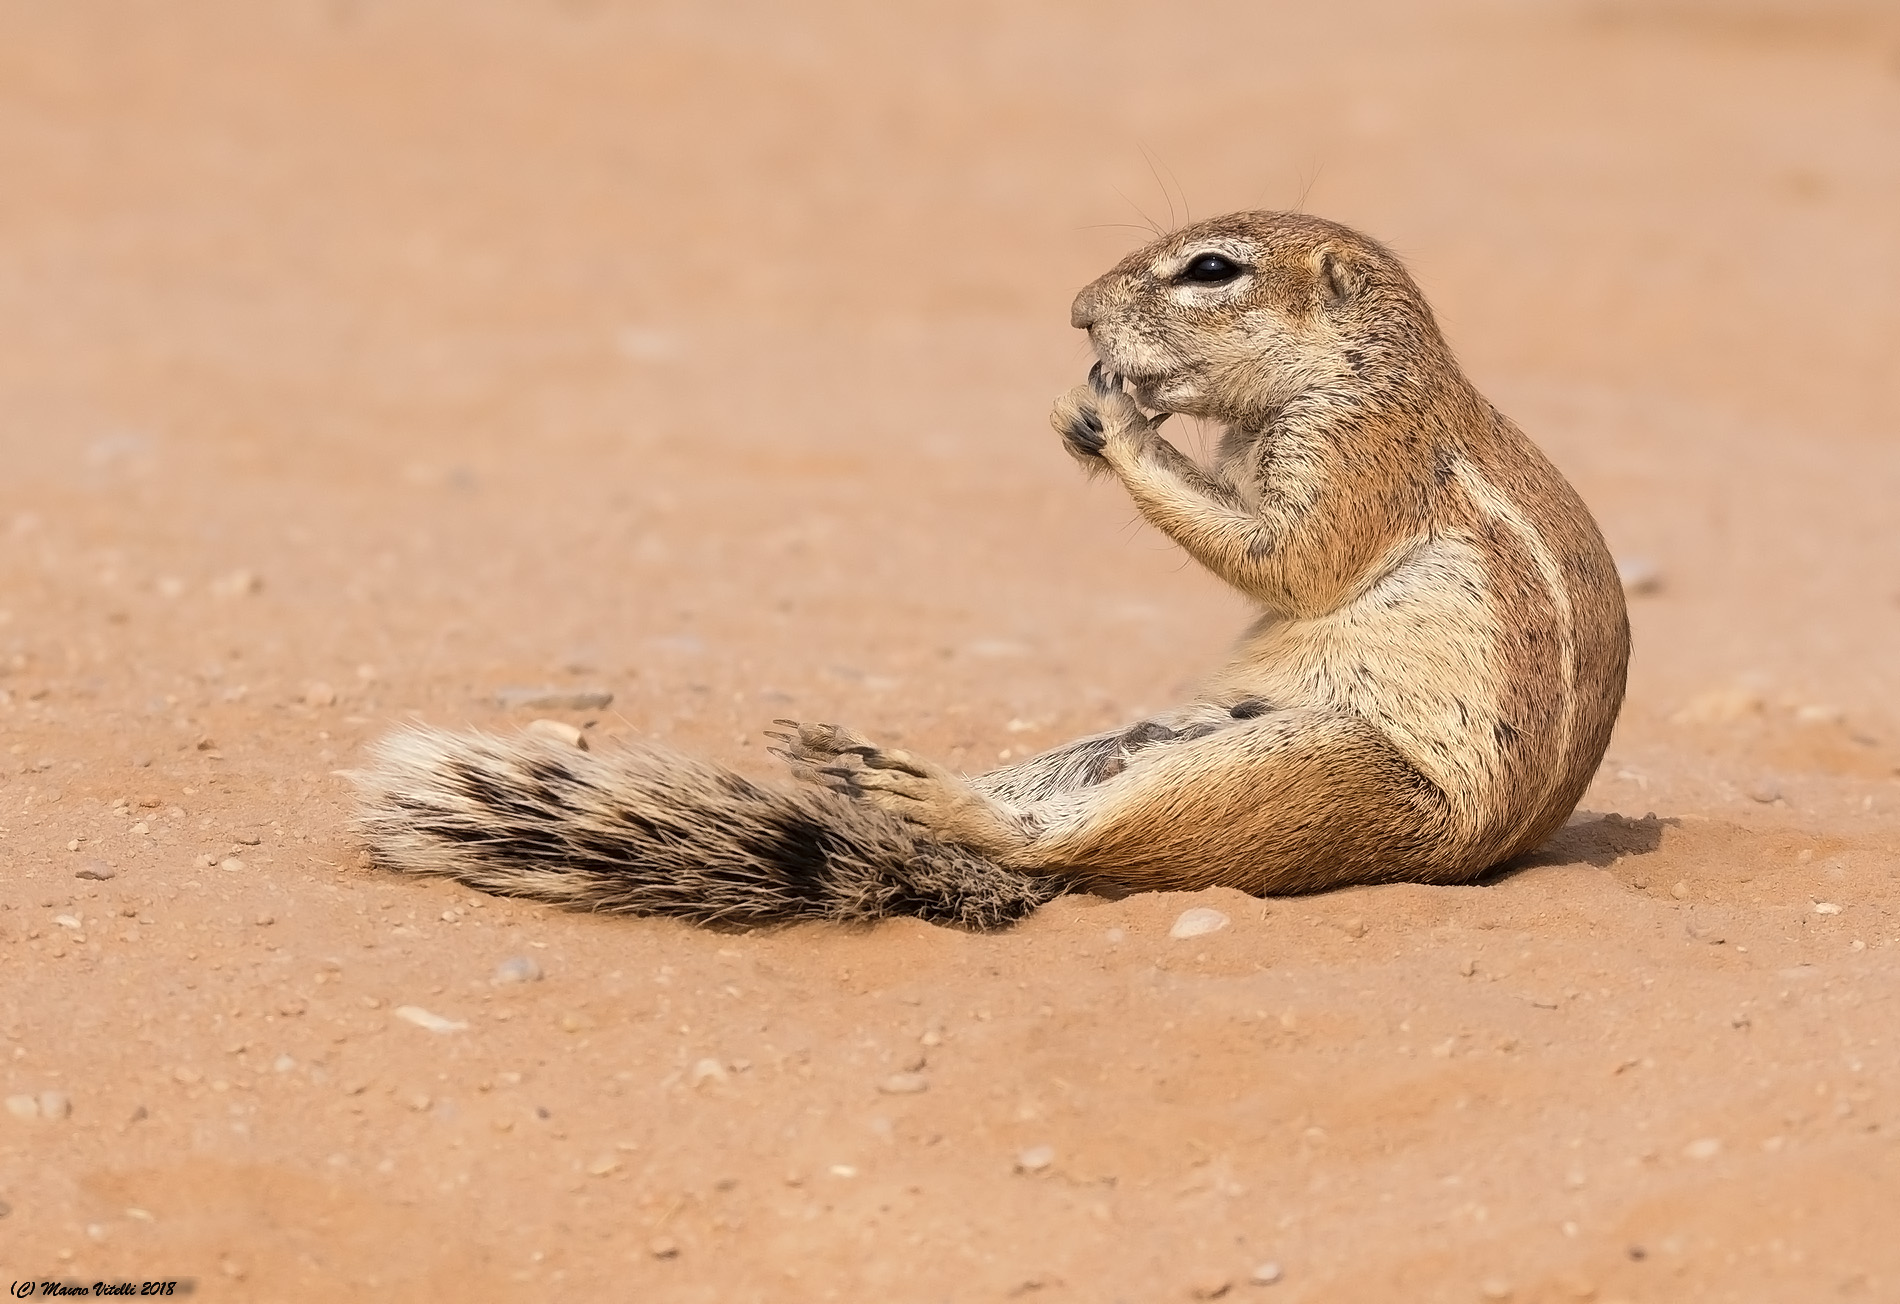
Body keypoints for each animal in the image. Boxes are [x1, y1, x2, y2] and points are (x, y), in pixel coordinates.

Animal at [355, 211, 1629, 930]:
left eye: (1210, 270)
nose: (1075, 313)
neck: (1363, 363)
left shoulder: (1363, 451)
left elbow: (1289, 559)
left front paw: (1112, 414)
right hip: (1149, 738)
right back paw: (869, 769)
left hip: (1319, 771)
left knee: (1069, 842)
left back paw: (931, 797)